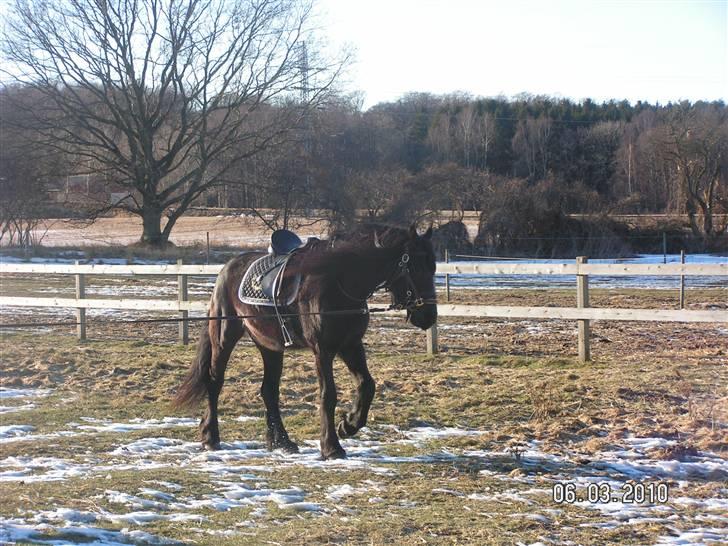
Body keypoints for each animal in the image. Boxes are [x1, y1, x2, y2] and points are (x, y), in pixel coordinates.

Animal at [175, 223, 438, 456]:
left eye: (433, 268)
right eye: (415, 268)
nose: (428, 315)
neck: (339, 280)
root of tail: (227, 268)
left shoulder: (351, 345)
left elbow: (367, 385)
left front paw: (348, 426)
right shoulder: (323, 349)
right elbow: (328, 394)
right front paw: (331, 447)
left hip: (270, 346)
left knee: (269, 390)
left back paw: (282, 441)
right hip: (224, 338)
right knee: (214, 382)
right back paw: (211, 437)